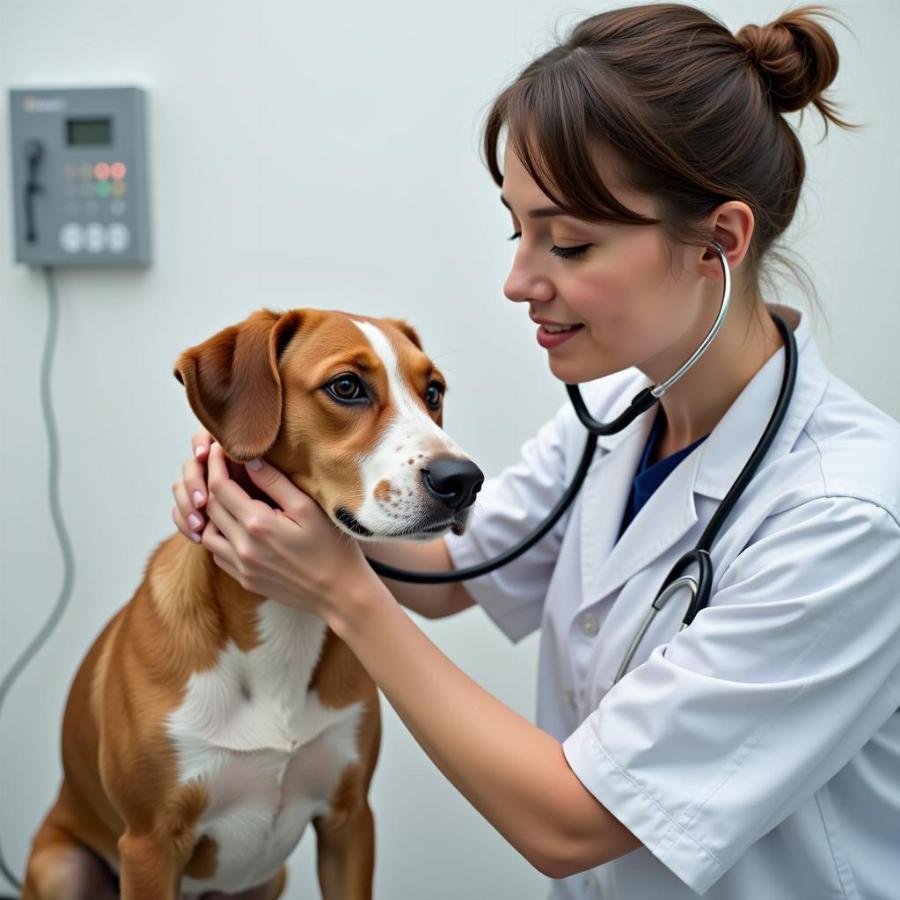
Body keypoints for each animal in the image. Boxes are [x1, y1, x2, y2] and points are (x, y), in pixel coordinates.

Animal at [22, 310, 486, 900]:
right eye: (346, 387)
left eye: (433, 392)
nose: (464, 481)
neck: (286, 620)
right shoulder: (149, 843)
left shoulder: (349, 820)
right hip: (59, 865)